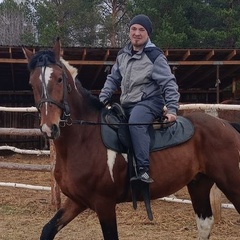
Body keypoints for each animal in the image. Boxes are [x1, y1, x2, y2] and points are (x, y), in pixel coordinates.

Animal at [23, 38, 240, 239]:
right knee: (205, 223)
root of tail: (227, 126)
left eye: (59, 79)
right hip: (199, 183)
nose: (49, 127)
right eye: (32, 83)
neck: (84, 140)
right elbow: (48, 230)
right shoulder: (77, 201)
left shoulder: (104, 204)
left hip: (231, 184)